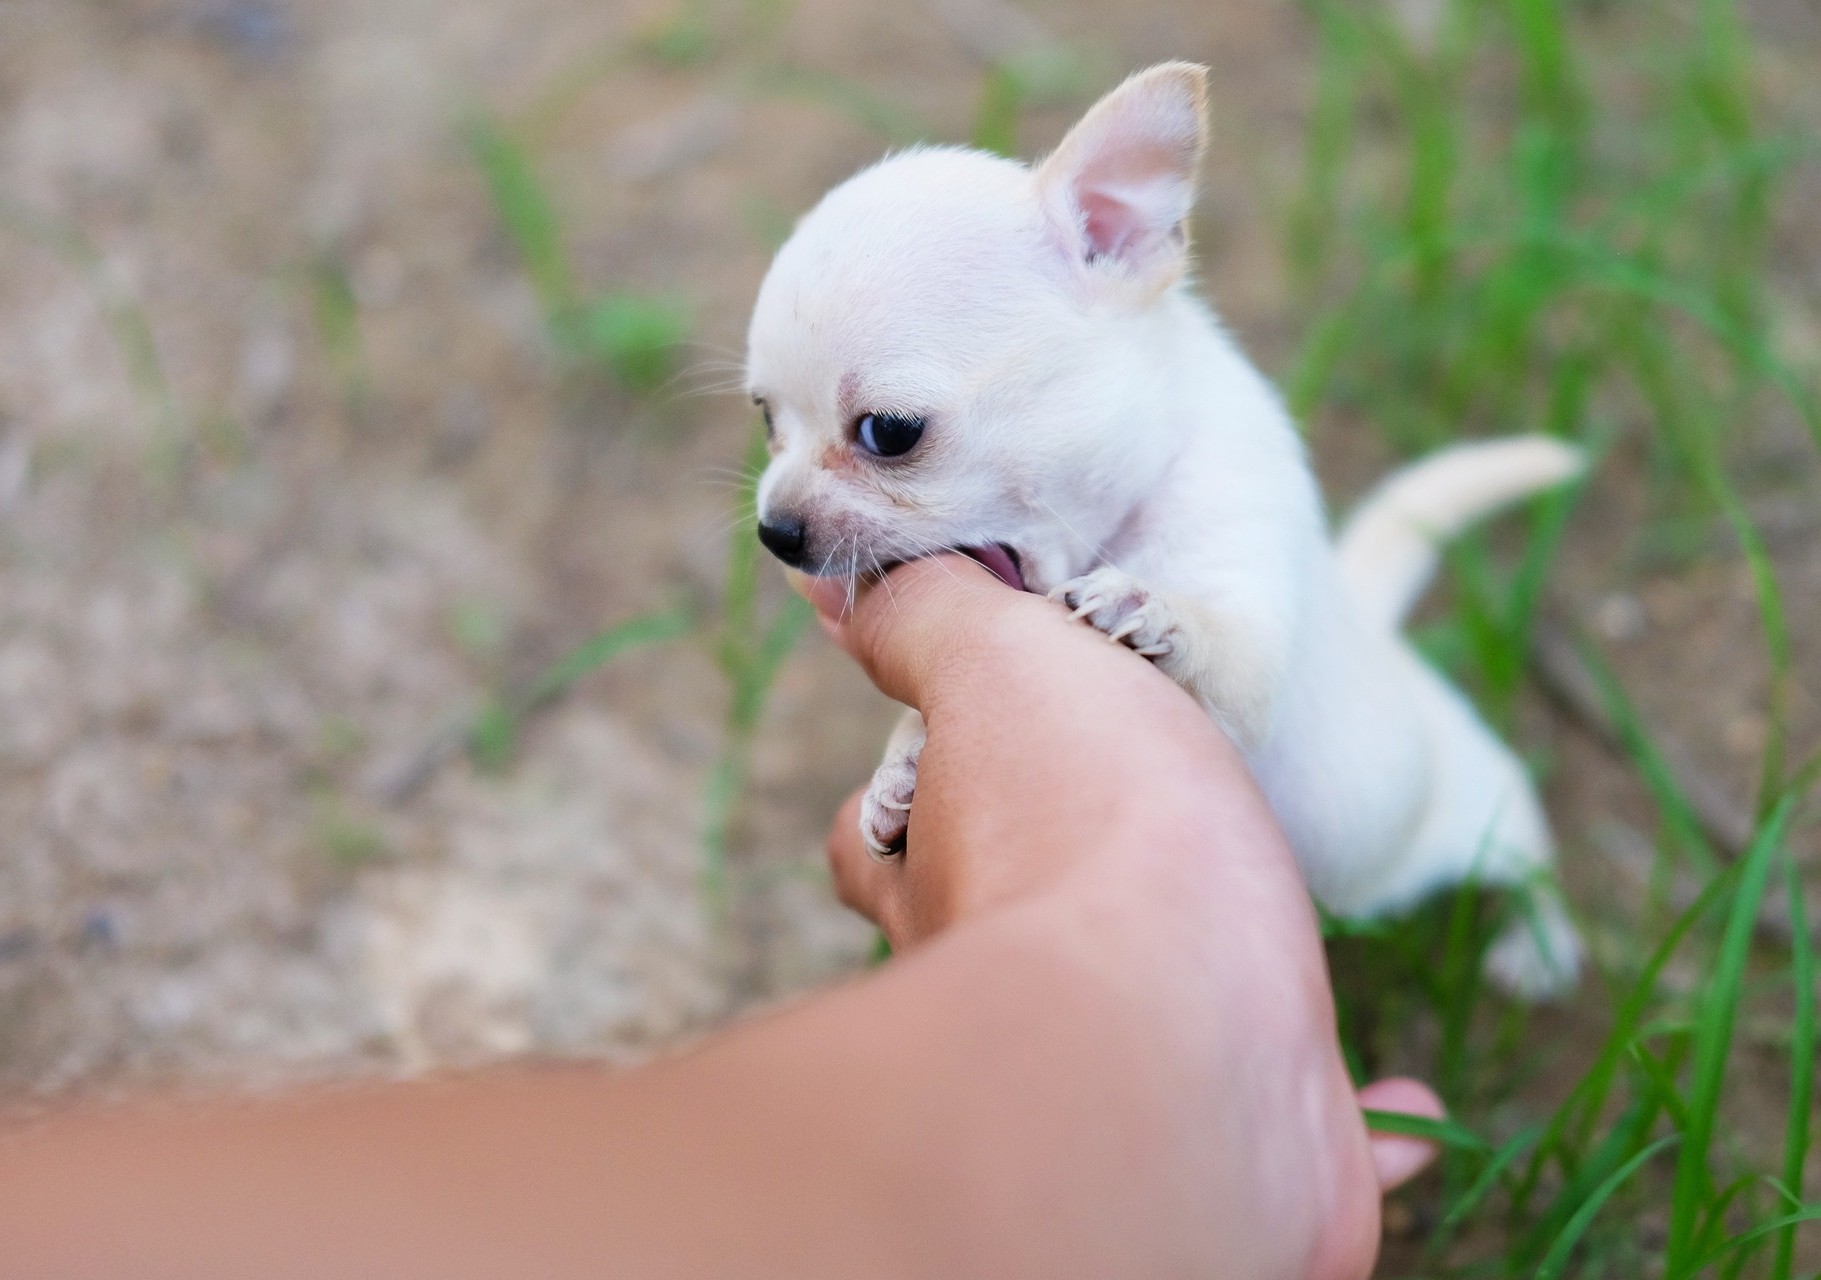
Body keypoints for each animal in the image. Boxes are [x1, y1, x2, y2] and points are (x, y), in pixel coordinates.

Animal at [746, 62, 1587, 1005]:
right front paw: (897, 771)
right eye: (765, 419)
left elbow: (1220, 642)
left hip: (1477, 810)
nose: (775, 531)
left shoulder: (1251, 645)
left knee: (1530, 856)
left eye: (889, 432)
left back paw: (1540, 946)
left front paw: (1149, 606)